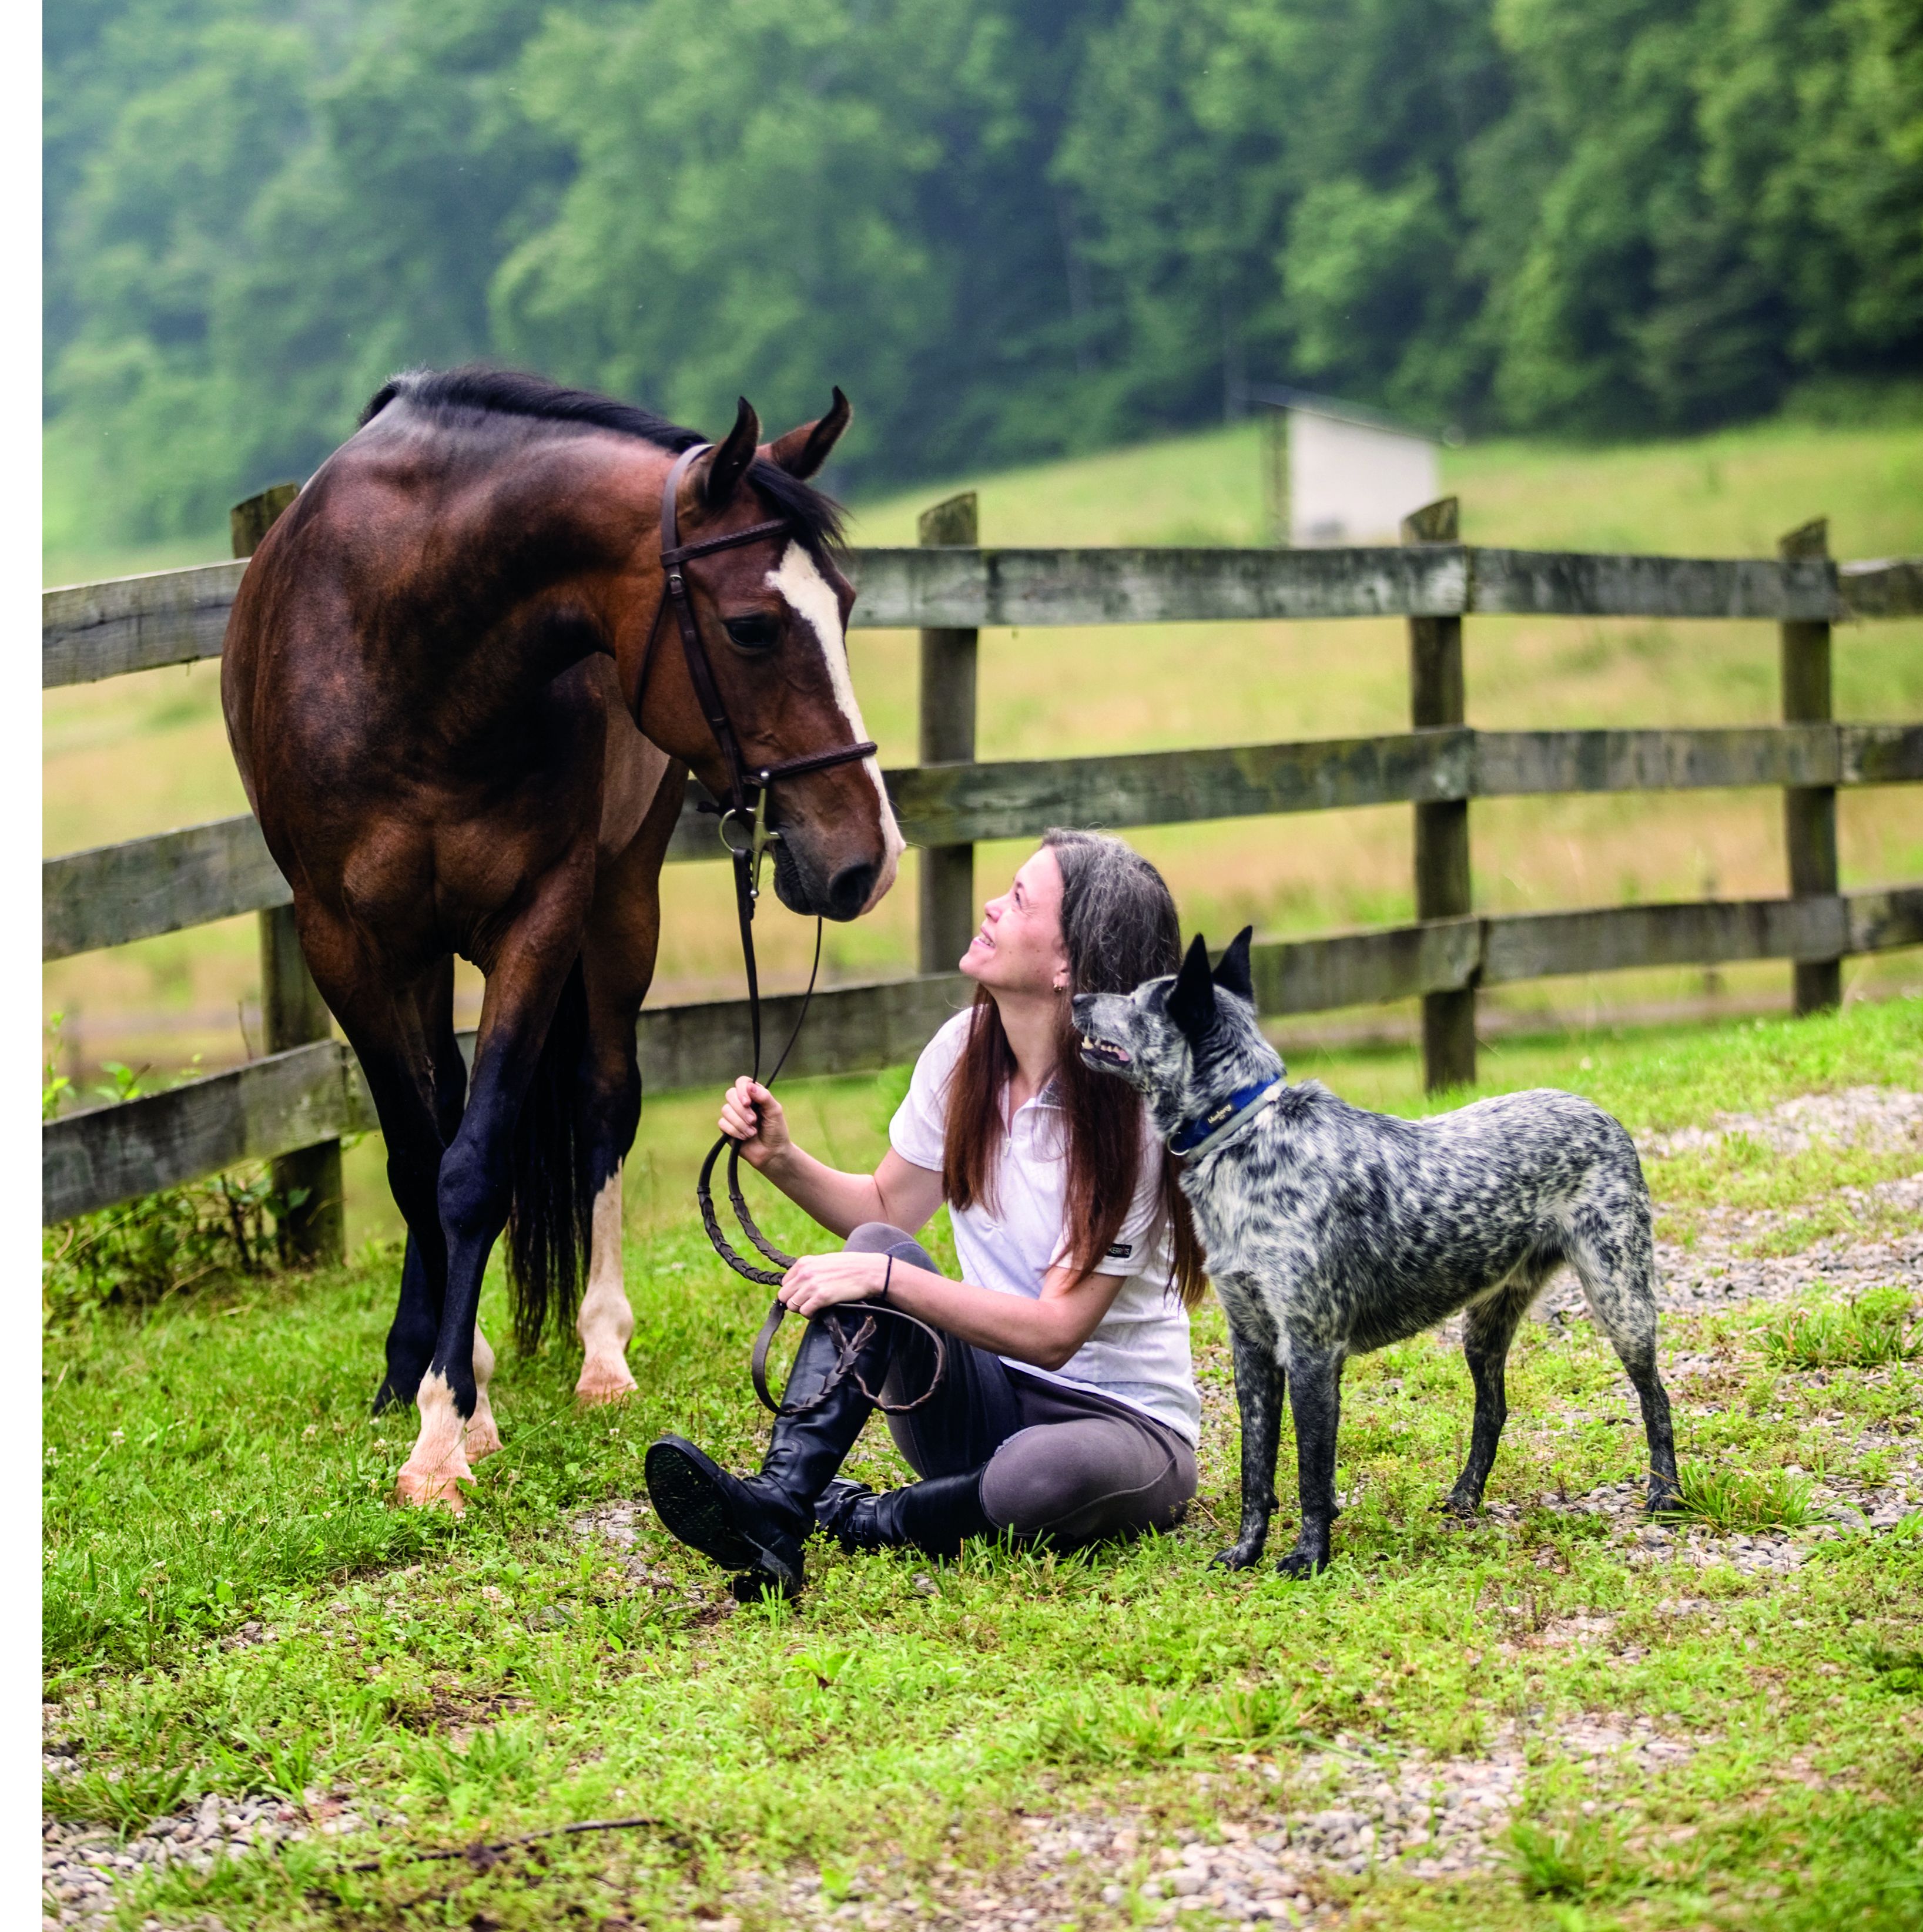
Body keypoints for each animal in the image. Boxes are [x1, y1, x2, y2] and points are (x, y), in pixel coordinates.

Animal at [223, 363, 900, 1507]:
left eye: (845, 607)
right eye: (752, 627)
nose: (869, 859)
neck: (408, 650)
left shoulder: (541, 915)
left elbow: (475, 1165)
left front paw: (446, 1430)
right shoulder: (345, 944)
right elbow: (422, 1161)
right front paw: (444, 1394)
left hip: (622, 900)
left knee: (601, 1100)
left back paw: (599, 1351)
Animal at [1074, 927, 1677, 1577]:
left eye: (1138, 1002)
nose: (1077, 997)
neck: (1244, 1135)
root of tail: (1600, 1114)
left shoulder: (1312, 1351)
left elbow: (1312, 1474)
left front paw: (1308, 1557)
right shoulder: (1252, 1348)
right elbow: (1255, 1469)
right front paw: (1246, 1551)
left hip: (1620, 1300)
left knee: (1655, 1397)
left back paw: (1664, 1495)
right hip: (1484, 1325)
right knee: (1492, 1409)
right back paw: (1465, 1497)